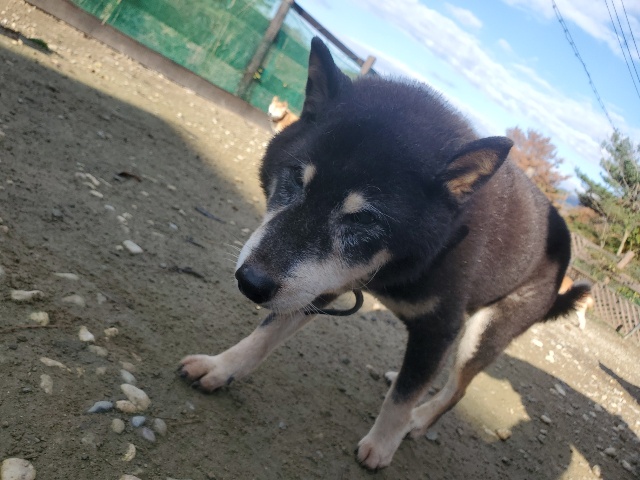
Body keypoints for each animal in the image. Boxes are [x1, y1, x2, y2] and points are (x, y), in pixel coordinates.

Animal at [179, 37, 591, 470]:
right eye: (295, 179)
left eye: (363, 219)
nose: (251, 283)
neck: (389, 269)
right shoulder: (316, 284)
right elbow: (264, 334)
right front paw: (221, 367)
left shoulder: (438, 328)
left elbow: (402, 399)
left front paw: (382, 444)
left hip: (486, 330)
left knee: (455, 390)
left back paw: (420, 419)